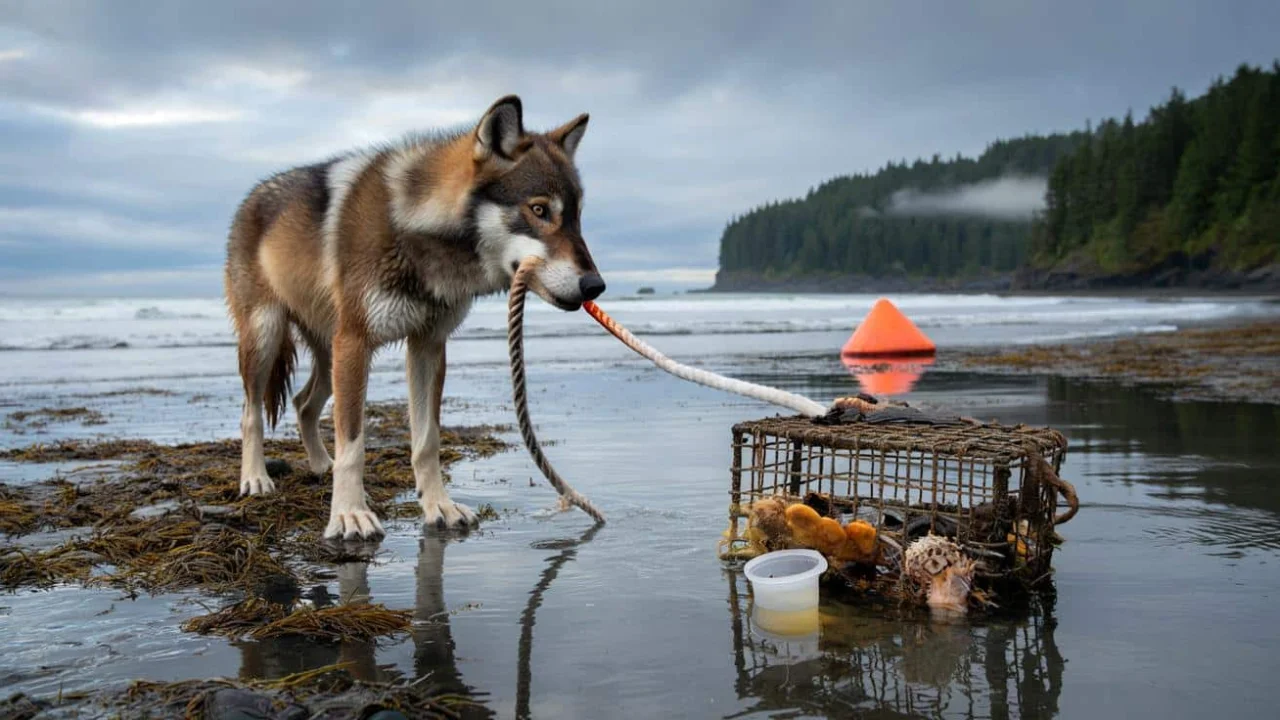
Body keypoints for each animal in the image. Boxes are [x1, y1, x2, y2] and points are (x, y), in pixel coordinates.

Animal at [223, 95, 605, 541]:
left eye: (577, 218)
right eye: (540, 210)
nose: (595, 285)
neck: (411, 227)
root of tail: (251, 196)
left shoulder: (427, 346)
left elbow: (426, 441)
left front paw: (439, 505)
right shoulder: (356, 343)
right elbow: (353, 443)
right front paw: (349, 514)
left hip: (329, 356)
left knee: (303, 404)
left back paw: (321, 466)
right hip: (269, 338)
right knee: (250, 413)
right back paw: (256, 479)